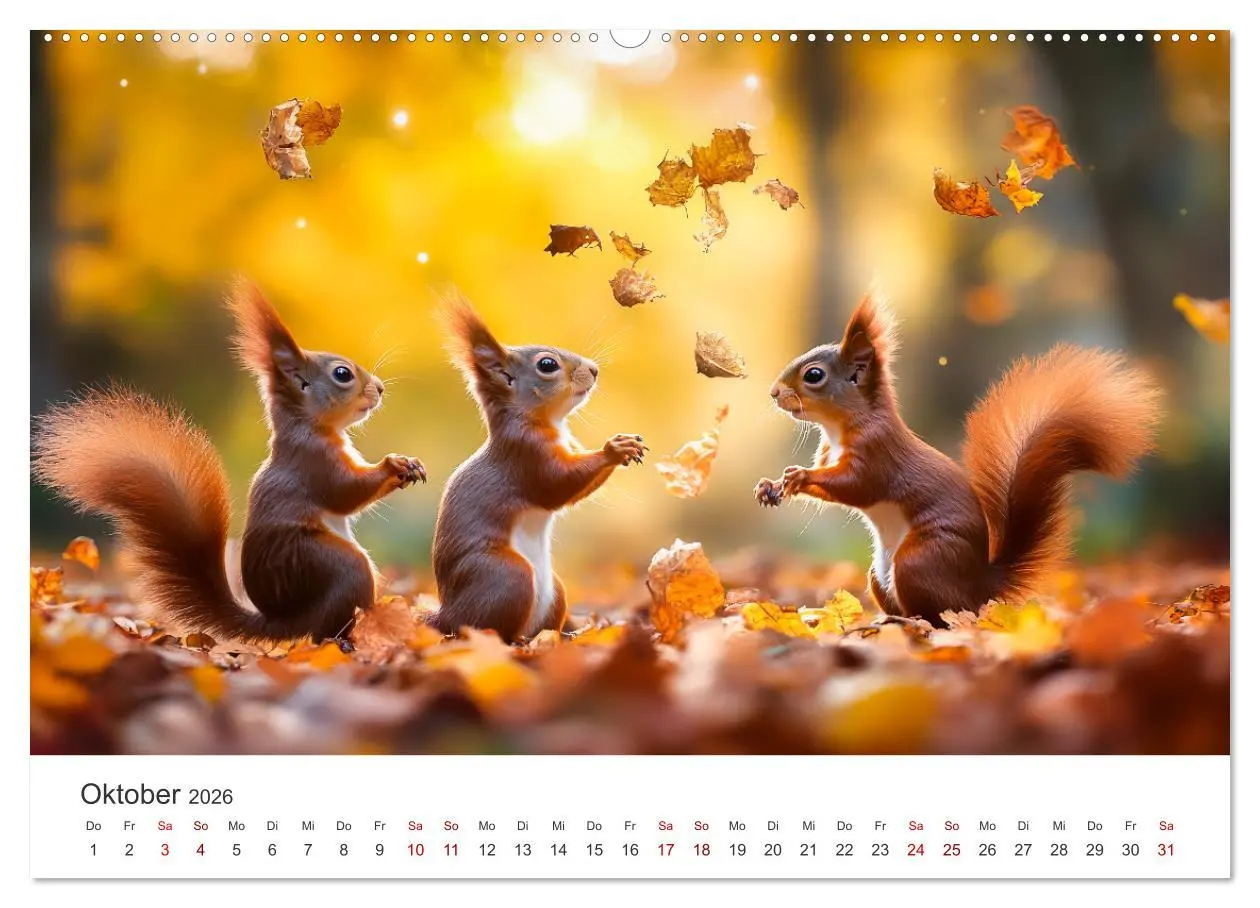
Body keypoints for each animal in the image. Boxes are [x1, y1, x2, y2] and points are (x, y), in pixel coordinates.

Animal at [32, 280, 426, 647]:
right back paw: (349, 640)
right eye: (342, 374)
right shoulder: (313, 463)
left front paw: (410, 465)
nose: (380, 388)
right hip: (331, 564)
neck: (310, 428)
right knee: (325, 630)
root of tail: (286, 623)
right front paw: (394, 465)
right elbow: (346, 493)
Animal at [431, 298, 647, 642]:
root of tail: (445, 617)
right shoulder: (525, 455)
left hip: (554, 591)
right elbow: (558, 485)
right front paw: (614, 449)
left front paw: (625, 444)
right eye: (547, 365)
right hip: (507, 576)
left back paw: (569, 633)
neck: (546, 423)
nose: (594, 370)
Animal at [754, 292, 1162, 626]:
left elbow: (856, 486)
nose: (773, 392)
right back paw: (887, 620)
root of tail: (979, 589)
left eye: (814, 375)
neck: (840, 428)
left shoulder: (877, 452)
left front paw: (799, 477)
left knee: (937, 618)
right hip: (879, 574)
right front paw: (770, 485)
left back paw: (907, 624)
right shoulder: (828, 453)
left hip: (919, 560)